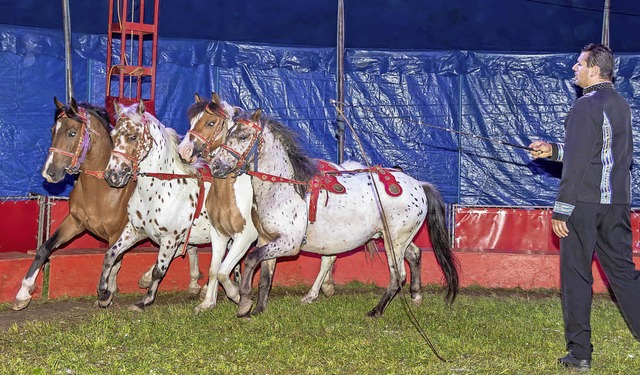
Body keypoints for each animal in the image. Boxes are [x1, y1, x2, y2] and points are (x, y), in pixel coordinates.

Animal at [12, 97, 201, 312]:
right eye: (53, 129)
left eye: (72, 132)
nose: (49, 172)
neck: (101, 190)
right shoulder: (75, 222)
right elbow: (44, 248)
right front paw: (23, 294)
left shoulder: (117, 232)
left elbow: (114, 261)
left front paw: (107, 292)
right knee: (189, 248)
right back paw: (191, 284)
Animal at [176, 92, 258, 312]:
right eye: (191, 121)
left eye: (211, 123)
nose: (184, 151)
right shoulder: (219, 233)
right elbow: (215, 269)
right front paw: (207, 302)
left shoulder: (246, 236)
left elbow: (223, 271)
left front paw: (237, 295)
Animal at [210, 108, 460, 318]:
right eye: (228, 134)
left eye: (243, 137)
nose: (215, 166)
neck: (283, 187)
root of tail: (419, 184)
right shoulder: (267, 239)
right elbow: (264, 277)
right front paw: (258, 309)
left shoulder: (288, 243)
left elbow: (251, 259)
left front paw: (243, 301)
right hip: (395, 238)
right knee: (415, 254)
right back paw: (416, 295)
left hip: (394, 241)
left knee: (398, 274)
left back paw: (376, 310)